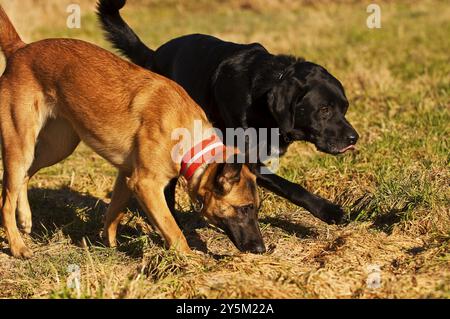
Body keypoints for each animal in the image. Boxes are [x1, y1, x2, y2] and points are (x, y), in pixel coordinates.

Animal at [0, 5, 266, 260]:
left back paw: (25, 219)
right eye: (244, 208)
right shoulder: (147, 184)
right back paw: (17, 246)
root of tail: (20, 50)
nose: (261, 248)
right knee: (6, 199)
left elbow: (113, 214)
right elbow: (173, 229)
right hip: (21, 146)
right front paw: (191, 260)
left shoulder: (126, 176)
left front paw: (110, 246)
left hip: (58, 146)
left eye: (256, 208)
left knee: (25, 176)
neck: (189, 138)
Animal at [97, 0, 358, 225]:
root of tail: (153, 55)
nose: (354, 138)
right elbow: (291, 186)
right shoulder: (247, 158)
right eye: (324, 110)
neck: (267, 86)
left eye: (345, 107)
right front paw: (329, 211)